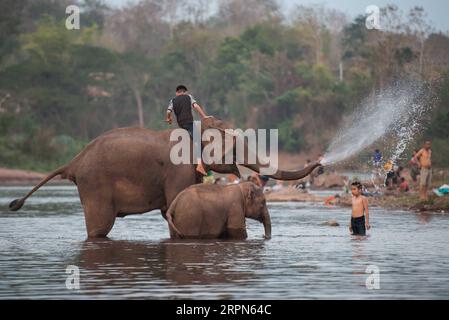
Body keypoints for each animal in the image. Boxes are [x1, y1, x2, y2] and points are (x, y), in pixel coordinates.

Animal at [8, 117, 320, 238]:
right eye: (234, 149)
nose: (319, 163)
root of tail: (74, 161)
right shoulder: (177, 170)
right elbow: (171, 206)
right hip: (95, 184)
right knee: (100, 228)